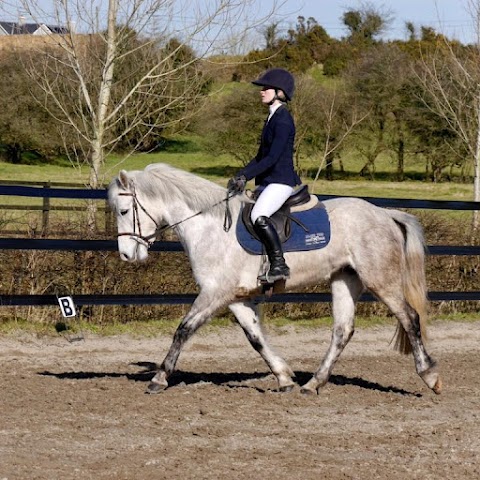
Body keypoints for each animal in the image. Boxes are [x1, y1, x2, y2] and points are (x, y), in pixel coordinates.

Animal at [109, 163, 442, 396]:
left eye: (124, 210)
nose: (126, 255)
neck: (210, 227)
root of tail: (385, 214)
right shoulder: (237, 298)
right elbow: (255, 337)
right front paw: (284, 378)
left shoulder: (214, 293)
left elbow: (183, 330)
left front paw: (159, 378)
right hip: (344, 280)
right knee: (342, 331)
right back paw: (313, 384)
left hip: (380, 279)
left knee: (409, 317)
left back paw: (430, 376)